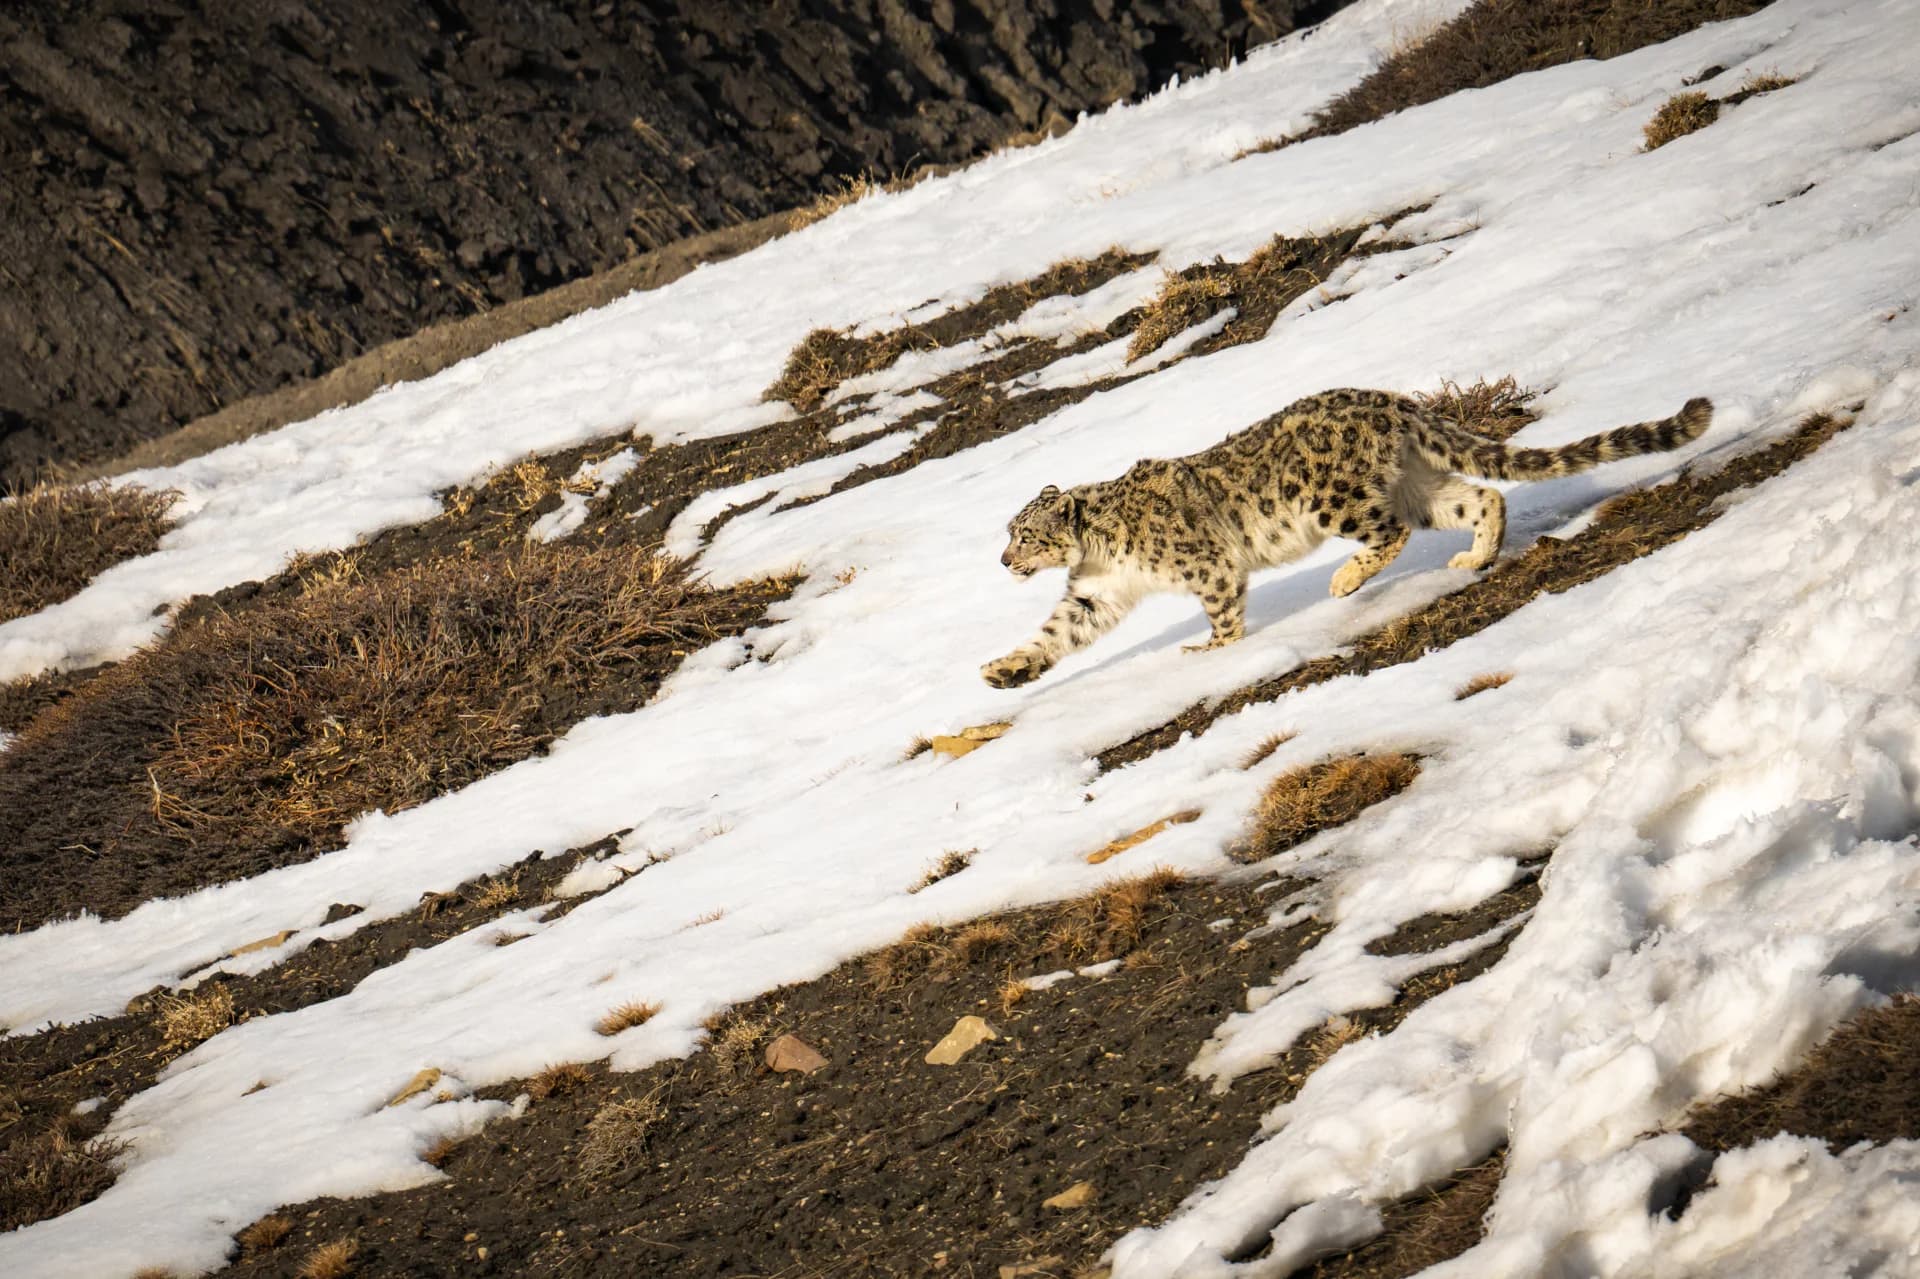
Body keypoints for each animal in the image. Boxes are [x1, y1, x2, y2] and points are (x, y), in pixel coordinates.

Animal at [981, 387, 1712, 688]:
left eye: (1025, 534)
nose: (1004, 560)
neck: (1102, 551)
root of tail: (1391, 400)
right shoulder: (1095, 593)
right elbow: (1058, 633)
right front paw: (1004, 670)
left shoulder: (1208, 566)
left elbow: (1221, 613)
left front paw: (1212, 653)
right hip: (1418, 485)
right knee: (1480, 496)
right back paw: (1475, 556)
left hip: (1336, 500)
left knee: (1388, 532)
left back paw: (1345, 580)